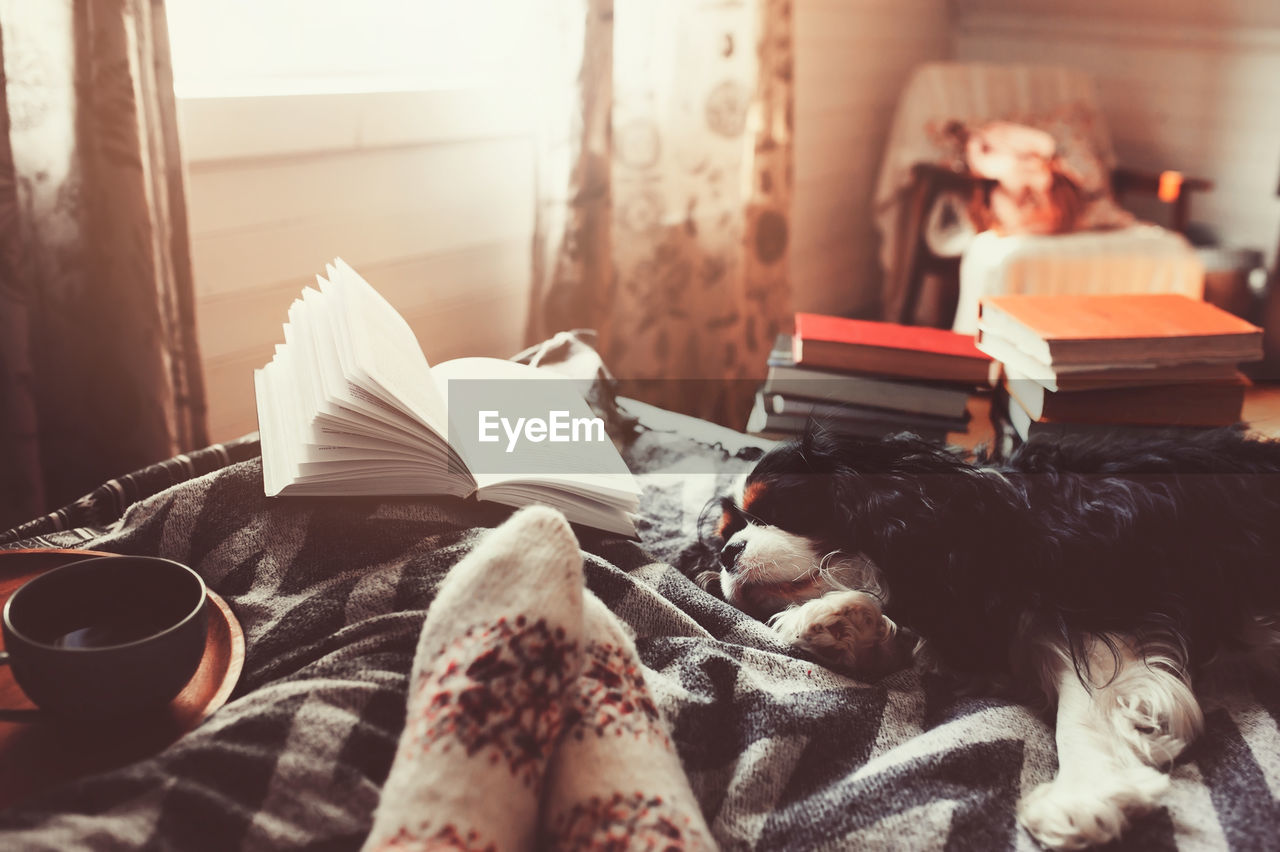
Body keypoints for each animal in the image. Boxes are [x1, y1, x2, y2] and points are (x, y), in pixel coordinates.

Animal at [691, 427, 1280, 844]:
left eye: (780, 509)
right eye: (725, 536)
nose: (728, 554)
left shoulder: (1099, 604)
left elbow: (1088, 700)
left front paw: (1085, 793)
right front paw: (839, 623)